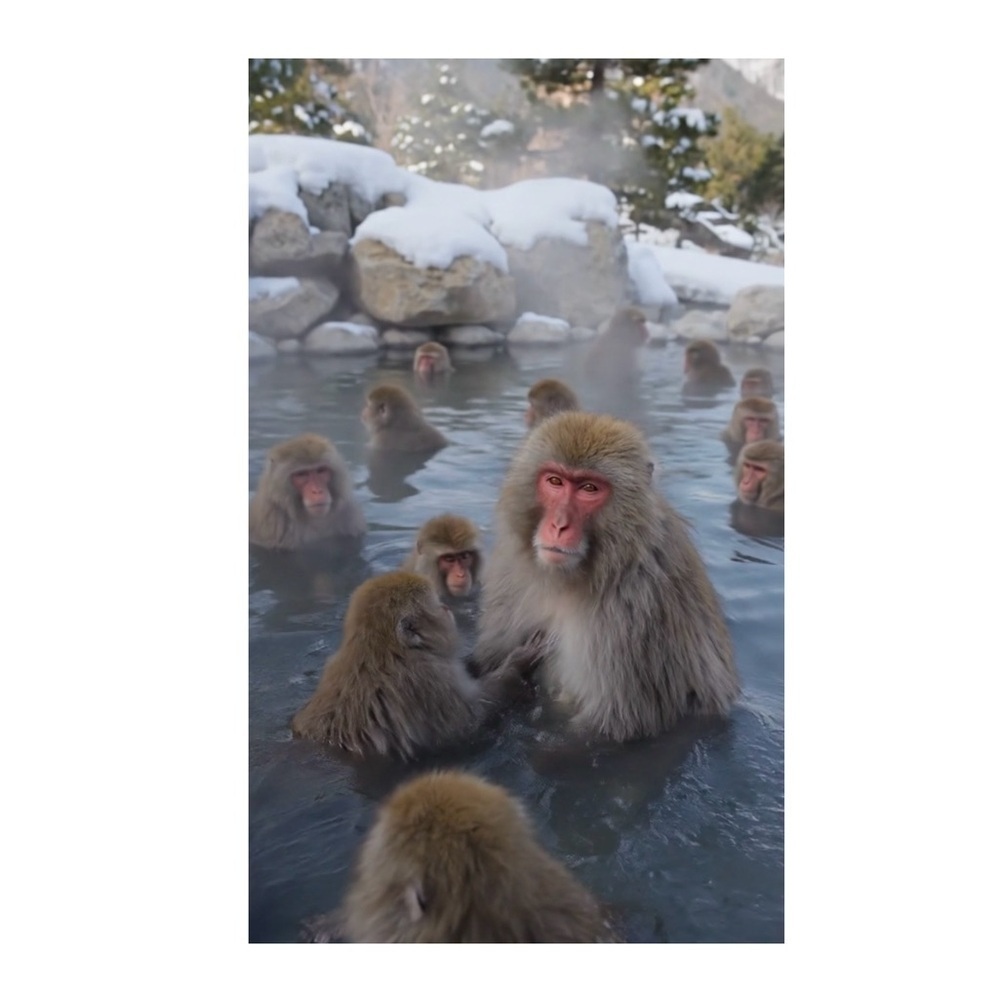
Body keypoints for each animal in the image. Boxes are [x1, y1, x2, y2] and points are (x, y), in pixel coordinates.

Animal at [291, 572, 544, 759]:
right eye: (438, 606)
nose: (447, 609)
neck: (383, 651)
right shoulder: (424, 681)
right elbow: (472, 720)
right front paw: (516, 665)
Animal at [471, 411, 740, 743]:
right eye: (555, 481)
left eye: (589, 488)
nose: (558, 525)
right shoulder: (511, 570)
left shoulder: (635, 612)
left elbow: (613, 725)